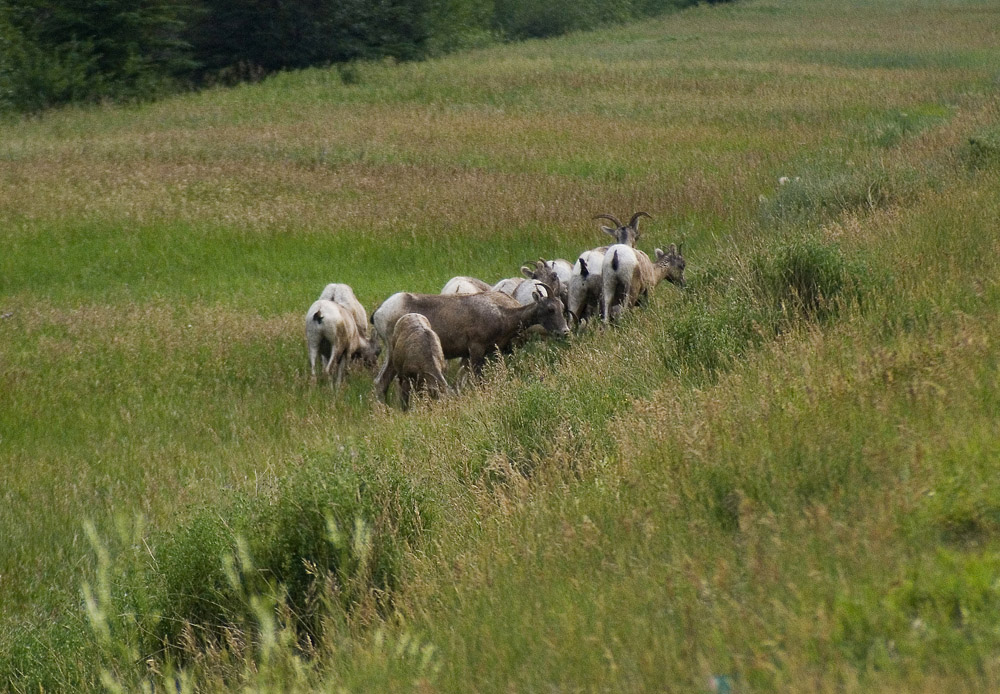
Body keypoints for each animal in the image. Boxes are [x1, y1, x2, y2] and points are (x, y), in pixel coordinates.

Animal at [372, 292, 572, 384]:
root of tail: (379, 312)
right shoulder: (476, 349)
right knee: (380, 381)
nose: (564, 332)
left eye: (562, 308)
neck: (503, 316)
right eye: (550, 309)